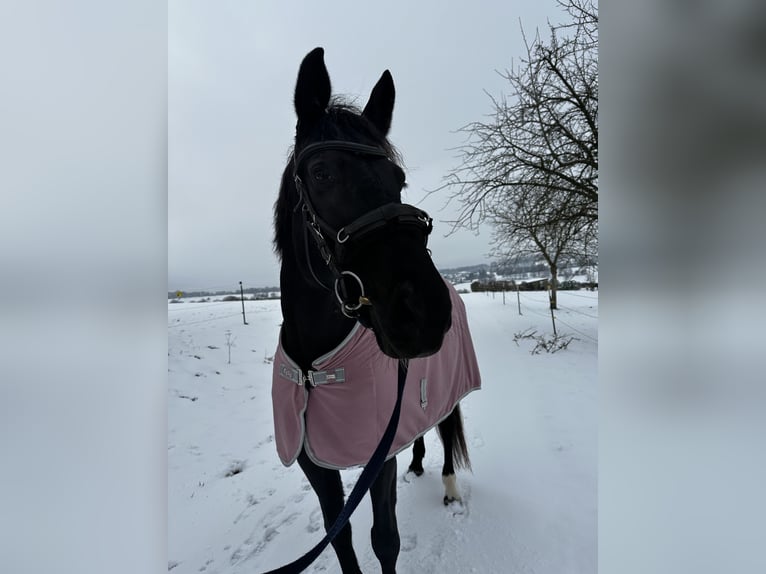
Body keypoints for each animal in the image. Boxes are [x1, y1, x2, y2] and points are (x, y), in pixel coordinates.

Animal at [270, 47, 480, 574]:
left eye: (398, 179)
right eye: (321, 173)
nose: (423, 312)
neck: (315, 365)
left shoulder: (376, 457)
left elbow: (385, 538)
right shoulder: (316, 462)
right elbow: (339, 535)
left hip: (449, 389)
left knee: (446, 428)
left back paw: (447, 484)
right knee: (420, 432)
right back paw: (419, 462)